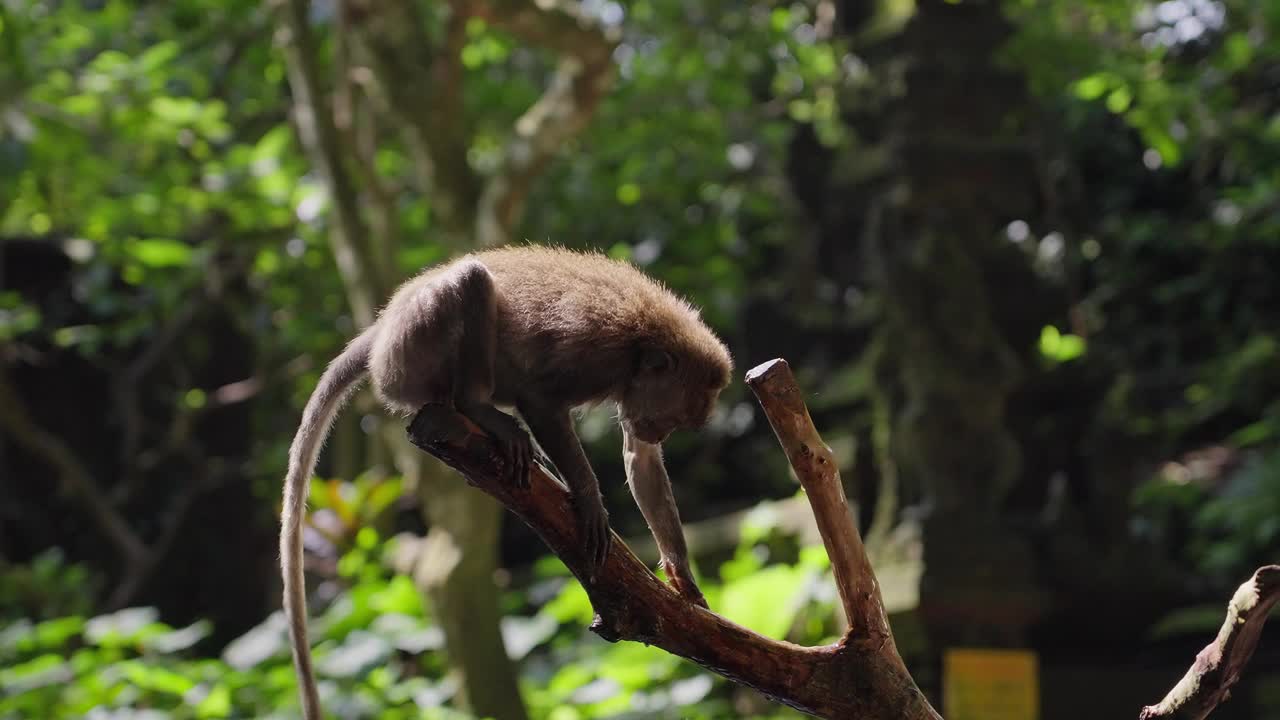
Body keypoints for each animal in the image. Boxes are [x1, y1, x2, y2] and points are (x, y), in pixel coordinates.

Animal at [279, 243, 732, 712]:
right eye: (672, 419)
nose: (657, 433)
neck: (641, 347)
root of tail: (383, 326)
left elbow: (639, 459)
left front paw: (683, 577)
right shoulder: (598, 357)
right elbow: (541, 399)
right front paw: (590, 500)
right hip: (412, 351)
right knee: (471, 283)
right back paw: (476, 407)